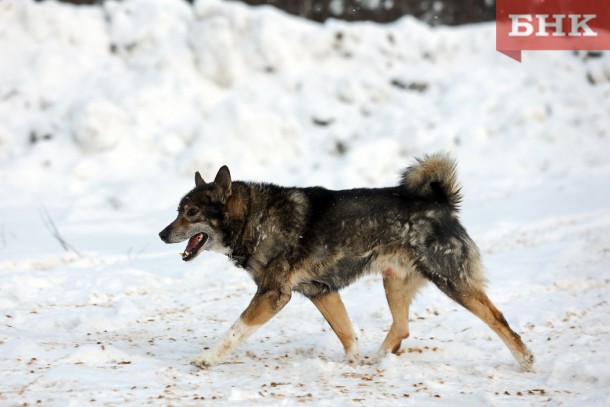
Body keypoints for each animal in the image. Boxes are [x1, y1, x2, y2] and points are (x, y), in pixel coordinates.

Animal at [158, 155, 532, 372]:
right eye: (177, 210)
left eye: (192, 212)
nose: (161, 234)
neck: (254, 217)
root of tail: (440, 203)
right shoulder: (321, 292)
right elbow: (347, 334)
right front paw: (351, 364)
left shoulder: (272, 295)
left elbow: (235, 330)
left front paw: (207, 358)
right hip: (394, 281)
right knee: (401, 327)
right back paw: (377, 361)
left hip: (453, 282)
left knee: (497, 318)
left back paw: (526, 360)